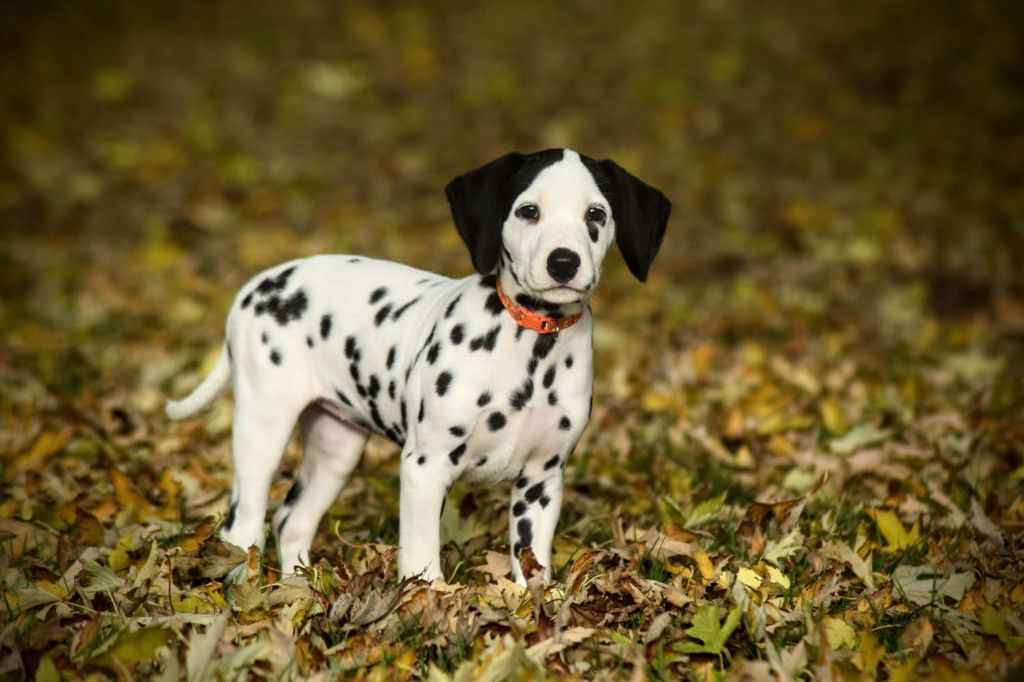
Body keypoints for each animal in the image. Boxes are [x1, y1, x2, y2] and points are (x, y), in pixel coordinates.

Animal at [167, 148, 671, 585]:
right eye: (529, 211)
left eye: (596, 214)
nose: (563, 262)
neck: (531, 341)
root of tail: (256, 286)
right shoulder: (425, 468)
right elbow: (422, 564)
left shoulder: (542, 480)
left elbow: (531, 564)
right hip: (262, 428)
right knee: (243, 527)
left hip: (336, 448)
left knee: (291, 520)